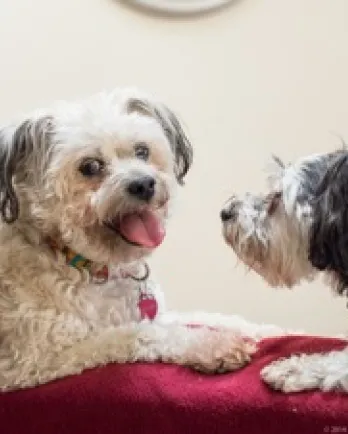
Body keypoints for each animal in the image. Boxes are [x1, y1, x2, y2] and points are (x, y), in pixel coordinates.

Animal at [0, 90, 286, 392]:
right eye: (90, 166)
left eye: (142, 151)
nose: (144, 184)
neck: (87, 265)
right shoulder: (36, 361)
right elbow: (141, 334)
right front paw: (213, 346)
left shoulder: (155, 313)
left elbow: (211, 317)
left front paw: (271, 331)